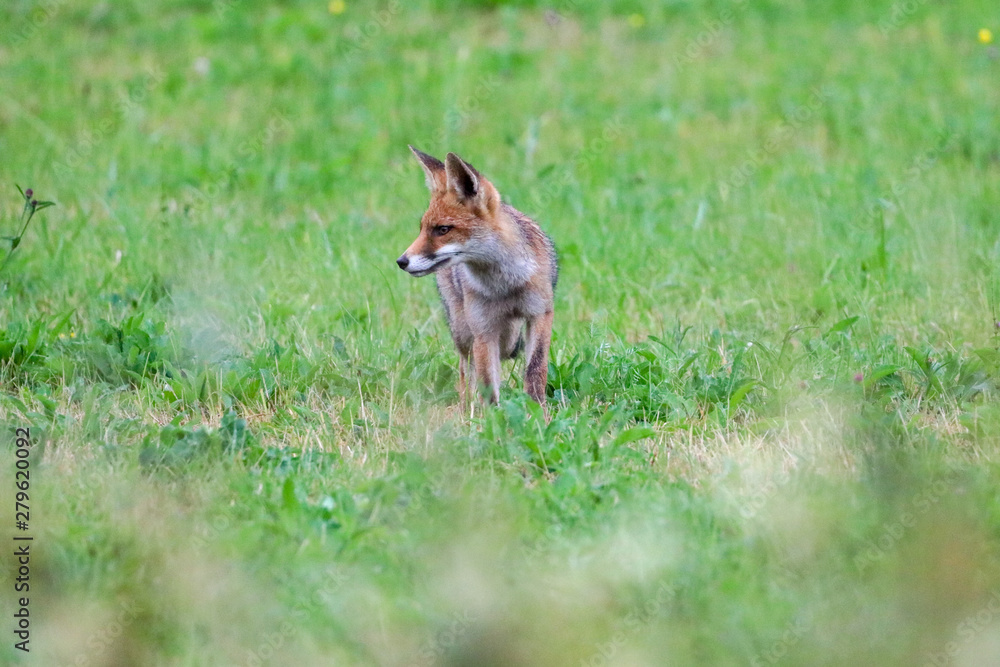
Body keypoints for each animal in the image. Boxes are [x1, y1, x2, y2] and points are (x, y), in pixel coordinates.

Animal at [396, 146, 558, 407]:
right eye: (421, 229)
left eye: (442, 229)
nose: (402, 261)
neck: (506, 285)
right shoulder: (483, 329)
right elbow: (487, 385)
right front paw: (491, 417)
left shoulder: (540, 314)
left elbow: (535, 371)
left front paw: (538, 411)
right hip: (463, 331)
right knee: (466, 373)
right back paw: (465, 410)